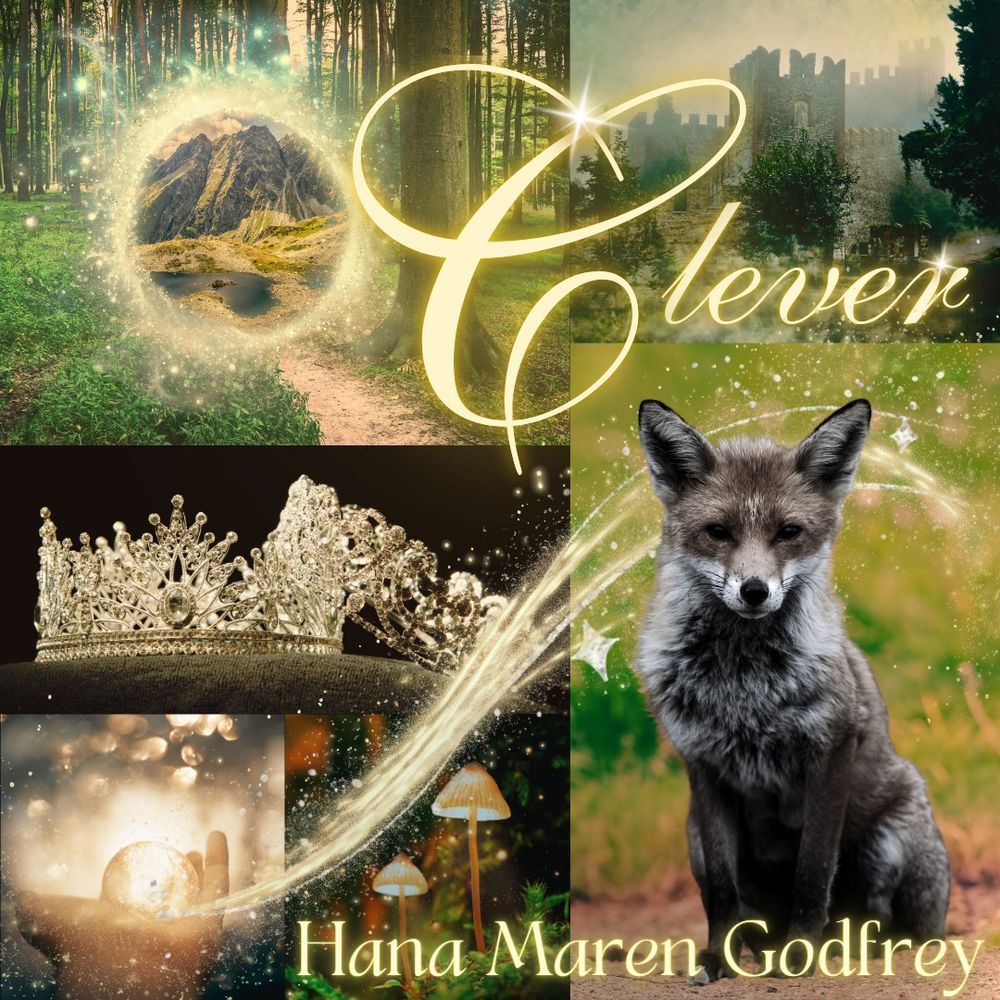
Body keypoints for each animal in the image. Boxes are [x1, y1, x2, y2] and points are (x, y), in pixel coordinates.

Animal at [635, 398, 950, 982]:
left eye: (788, 532)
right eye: (718, 531)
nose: (755, 590)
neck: (743, 681)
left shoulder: (830, 749)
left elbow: (813, 872)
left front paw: (801, 953)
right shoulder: (702, 762)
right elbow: (722, 892)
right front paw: (718, 958)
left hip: (887, 846)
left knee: (881, 925)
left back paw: (849, 949)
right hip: (691, 836)